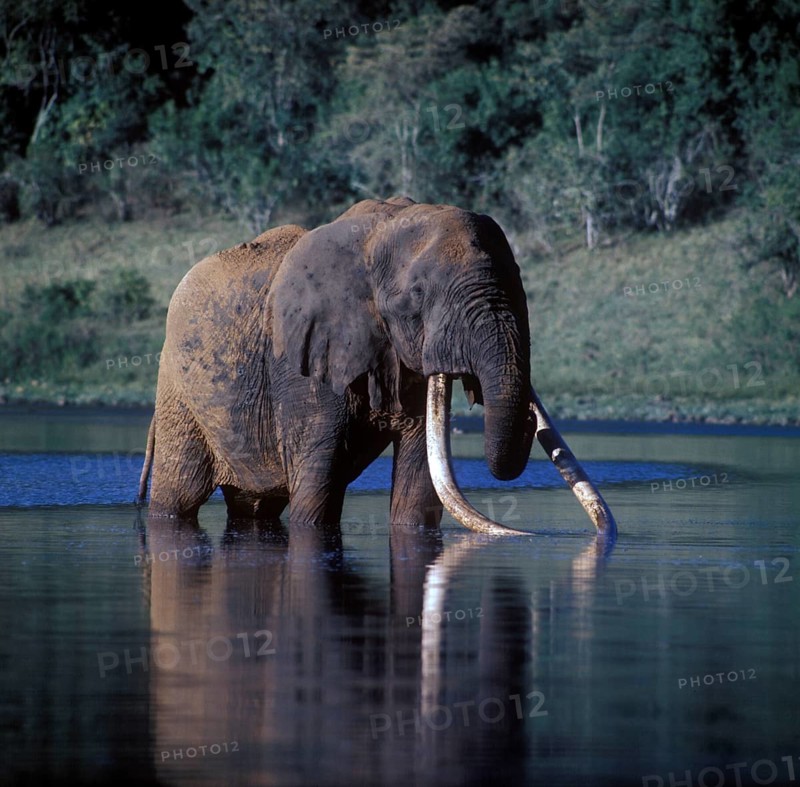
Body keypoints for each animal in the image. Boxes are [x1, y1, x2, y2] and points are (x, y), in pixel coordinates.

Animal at [137, 196, 616, 537]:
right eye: (416, 296)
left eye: (518, 281)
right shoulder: (300, 360)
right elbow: (317, 490)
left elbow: (418, 490)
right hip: (178, 395)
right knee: (177, 499)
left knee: (255, 508)